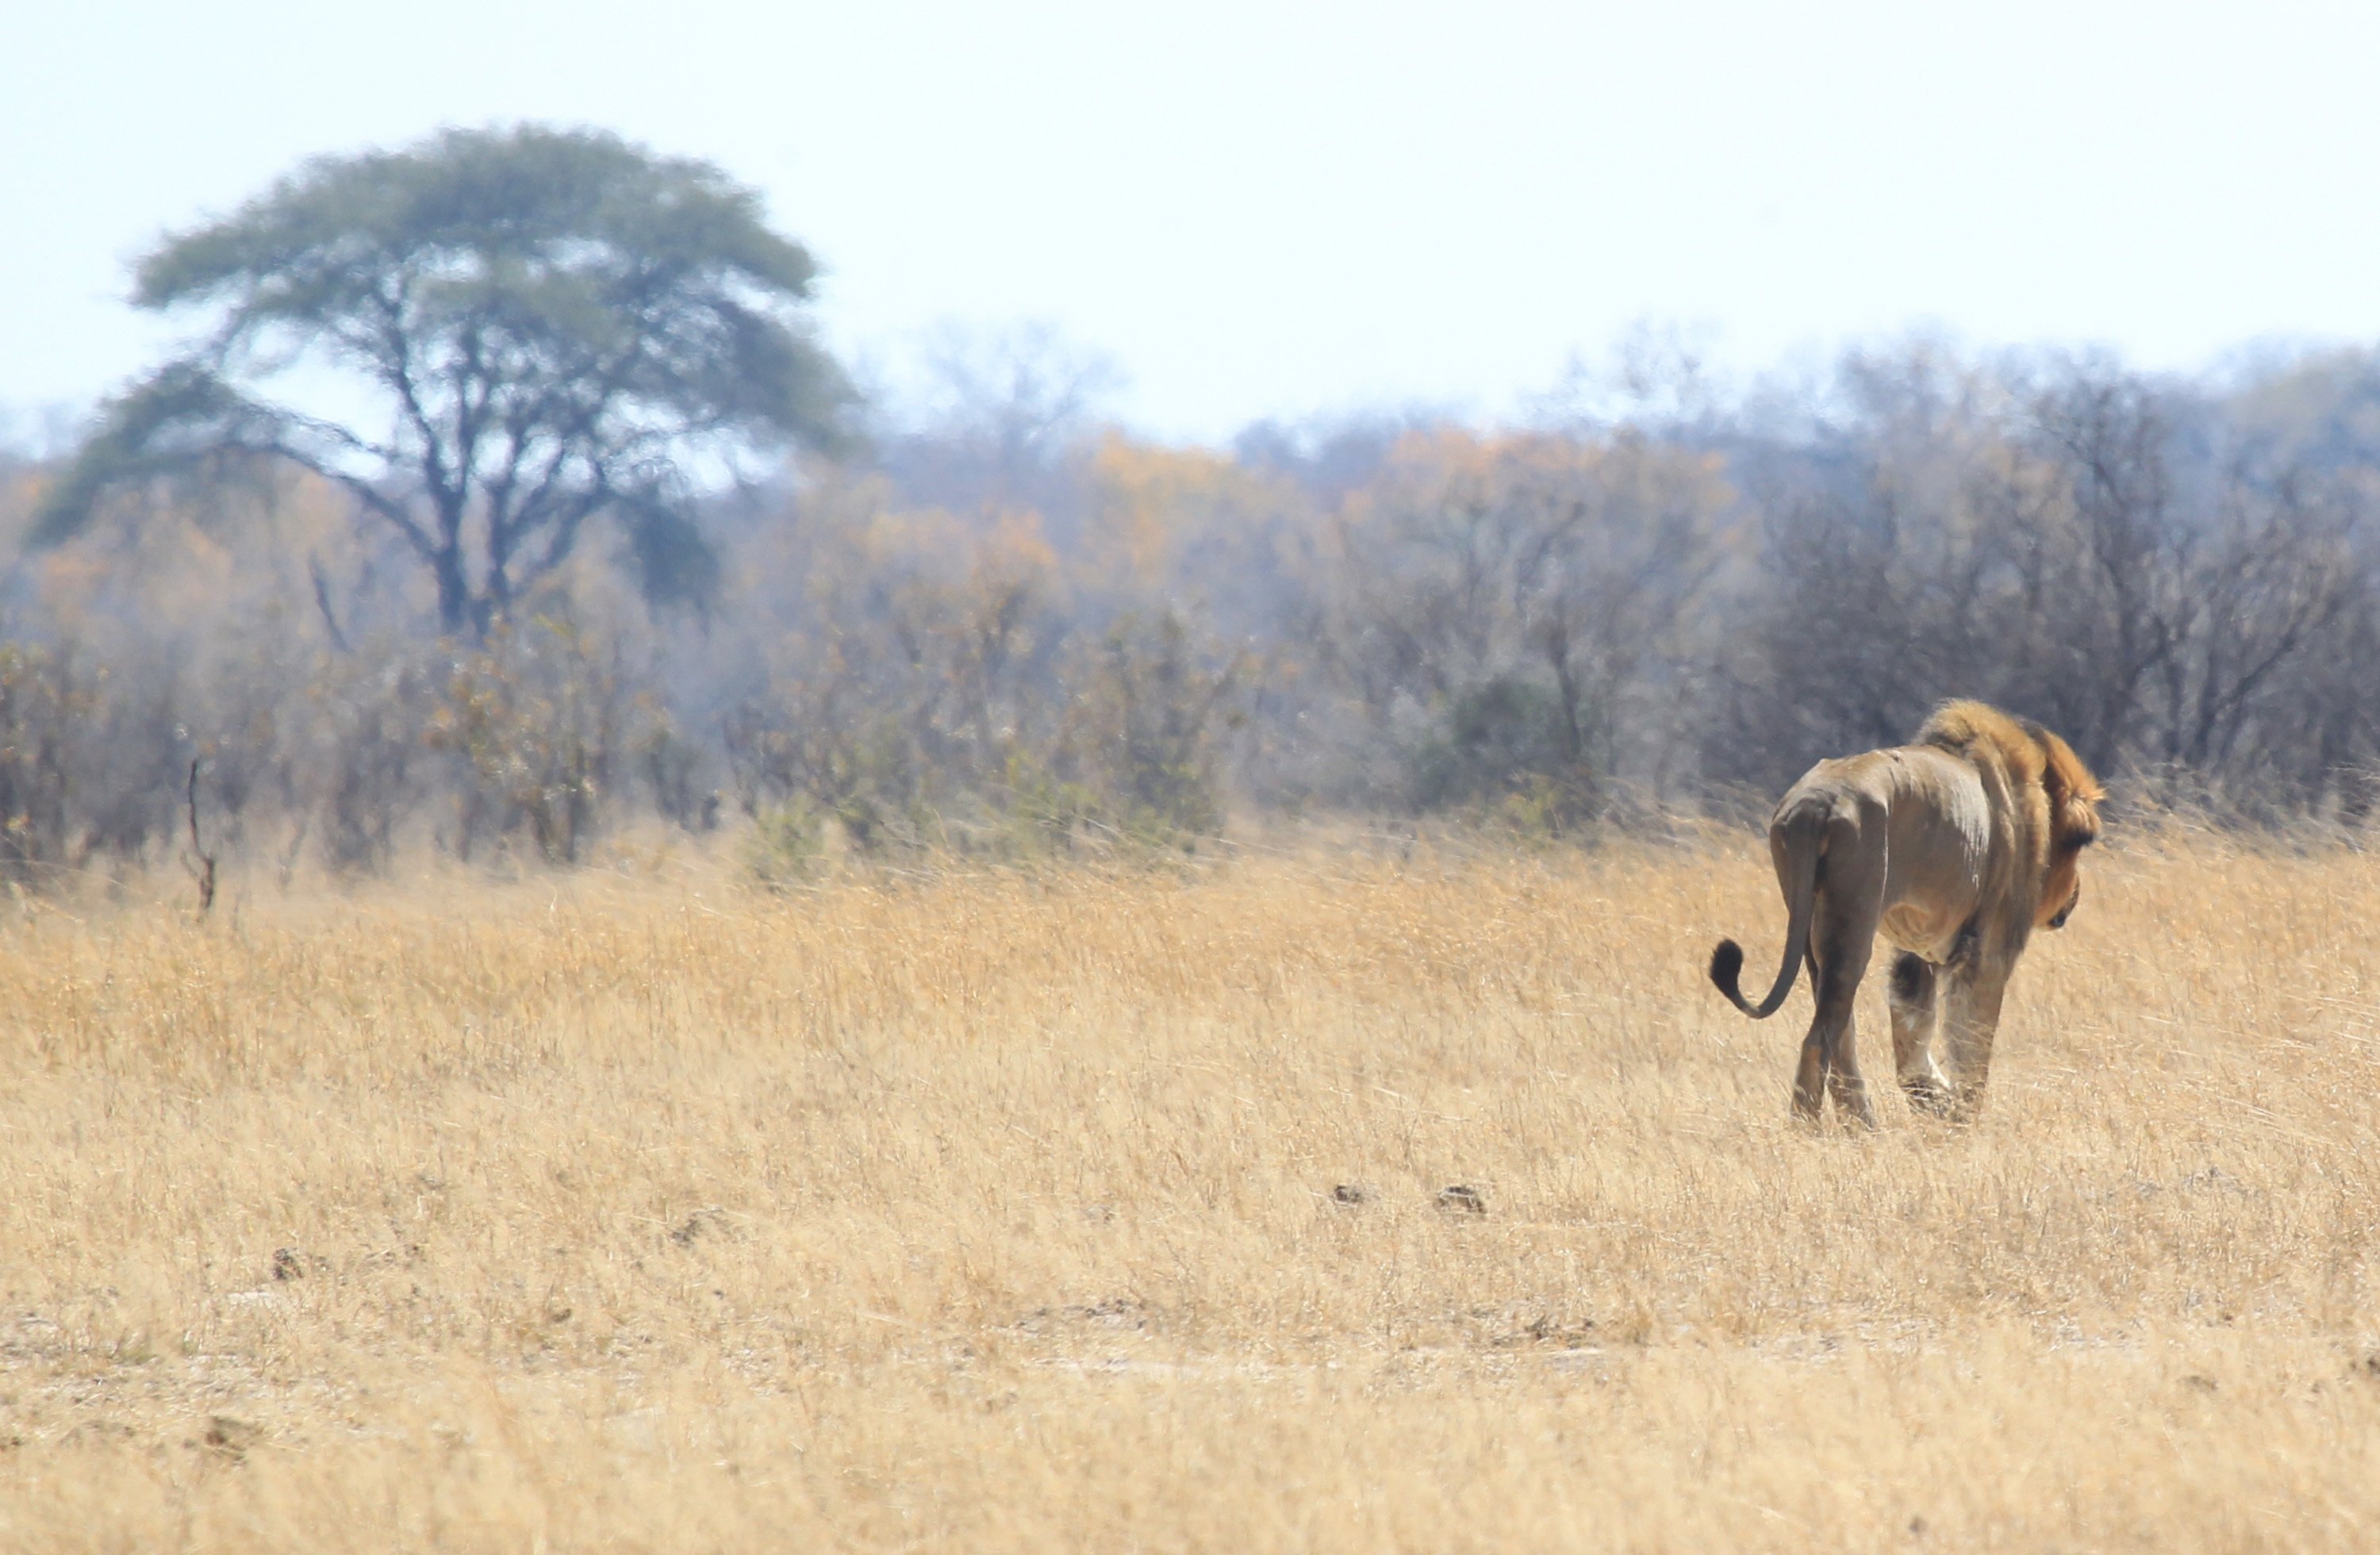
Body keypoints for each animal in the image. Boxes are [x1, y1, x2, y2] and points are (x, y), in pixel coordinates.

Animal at [1714, 705, 2104, 1128]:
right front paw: (1961, 1118)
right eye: (2081, 843)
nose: (2075, 896)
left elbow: (1911, 1040)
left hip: (1812, 931)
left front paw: (1933, 1099)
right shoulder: (1989, 953)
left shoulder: (1917, 953)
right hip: (1852, 924)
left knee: (1839, 1034)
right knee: (1818, 1041)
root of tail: (1815, 804)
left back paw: (1862, 1128)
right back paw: (1812, 1131)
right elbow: (1972, 1045)